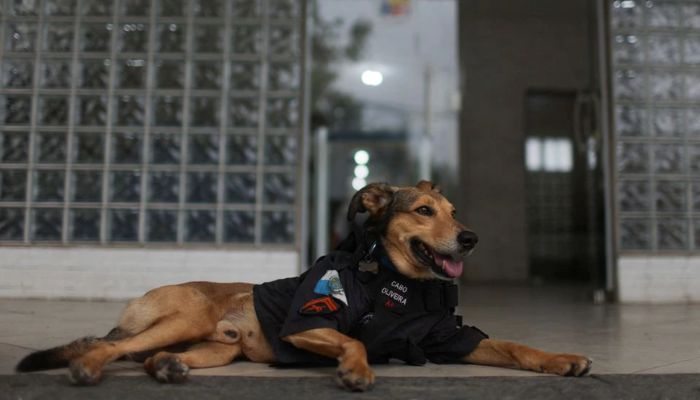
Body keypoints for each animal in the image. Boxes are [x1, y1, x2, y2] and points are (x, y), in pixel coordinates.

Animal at [16, 181, 592, 390]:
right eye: (425, 211)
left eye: (454, 211)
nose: (470, 238)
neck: (401, 287)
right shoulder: (307, 322)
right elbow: (354, 339)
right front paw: (356, 370)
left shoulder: (452, 339)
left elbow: (516, 347)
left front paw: (562, 359)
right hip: (185, 316)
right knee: (106, 346)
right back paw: (87, 367)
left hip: (216, 349)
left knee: (150, 356)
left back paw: (168, 369)